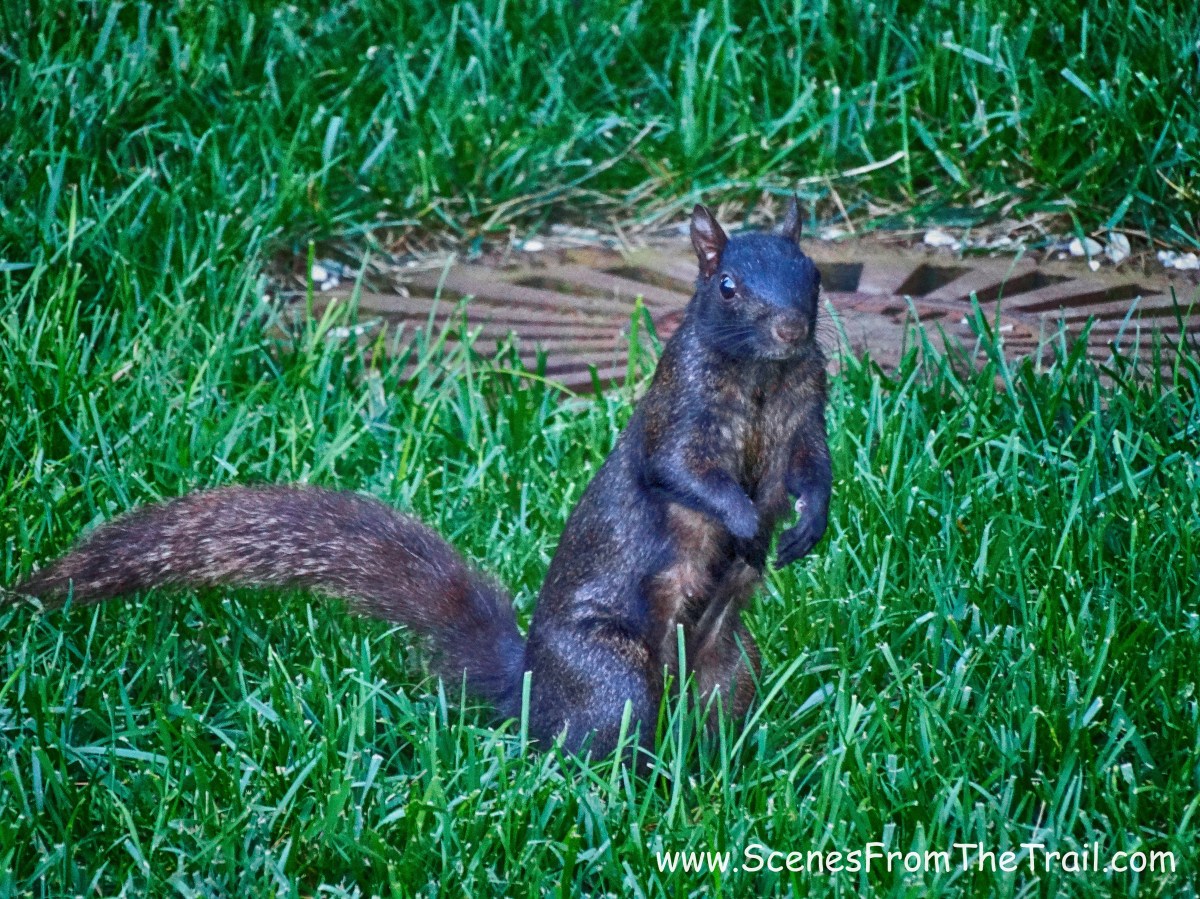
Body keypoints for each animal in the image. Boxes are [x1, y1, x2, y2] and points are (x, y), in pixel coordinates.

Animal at [15, 199, 832, 759]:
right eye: (726, 285)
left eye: (814, 274)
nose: (793, 328)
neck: (762, 378)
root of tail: (531, 692)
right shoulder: (678, 410)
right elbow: (681, 470)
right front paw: (748, 523)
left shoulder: (807, 411)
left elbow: (813, 468)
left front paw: (806, 525)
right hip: (612, 676)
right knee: (597, 742)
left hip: (730, 667)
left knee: (717, 709)